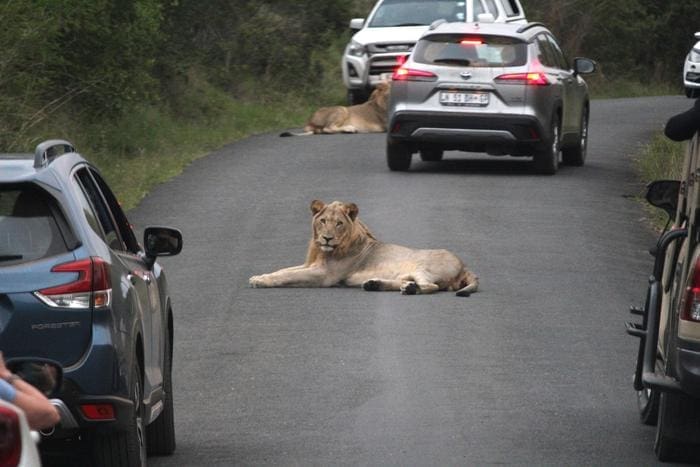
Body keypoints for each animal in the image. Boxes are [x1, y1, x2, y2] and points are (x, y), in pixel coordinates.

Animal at [249, 200, 479, 296]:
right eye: (323, 221)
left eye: (339, 223)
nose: (327, 238)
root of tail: (465, 266)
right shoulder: (311, 265)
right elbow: (283, 270)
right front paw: (259, 276)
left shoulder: (324, 275)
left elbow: (287, 276)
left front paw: (260, 281)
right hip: (407, 273)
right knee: (408, 282)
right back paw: (375, 284)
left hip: (423, 266)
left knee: (432, 286)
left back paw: (411, 290)